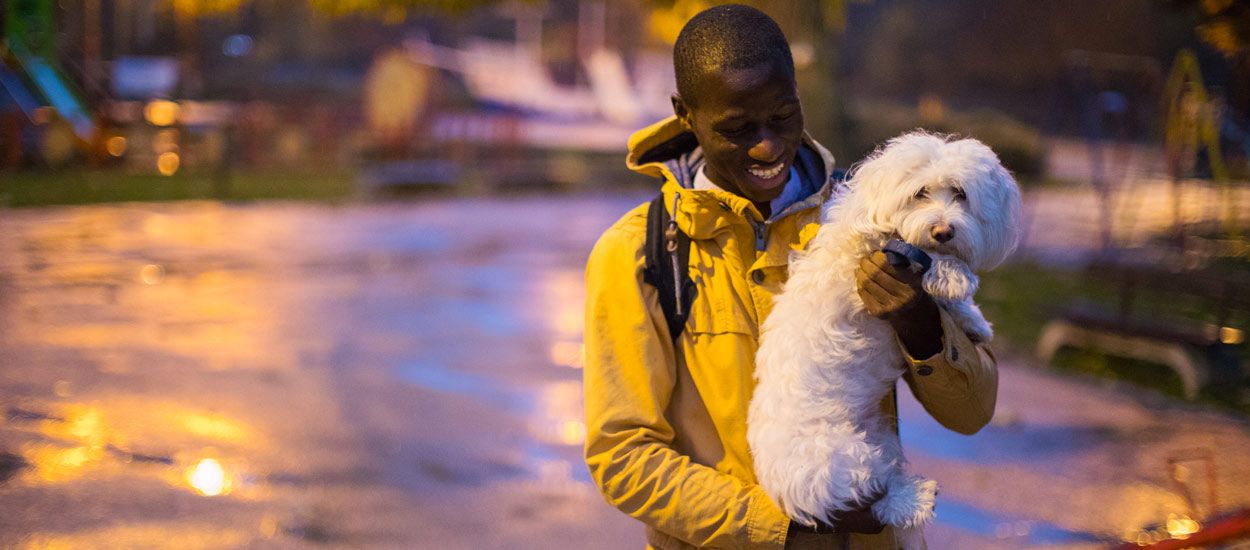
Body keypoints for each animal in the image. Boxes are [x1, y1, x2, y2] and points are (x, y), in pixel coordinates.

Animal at [745, 131, 1020, 545]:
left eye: (960, 193)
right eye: (920, 193)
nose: (943, 231)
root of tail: (783, 494)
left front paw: (972, 321)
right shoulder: (870, 254)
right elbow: (928, 259)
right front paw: (955, 276)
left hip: (878, 441)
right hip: (847, 461)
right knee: (879, 497)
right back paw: (915, 498)